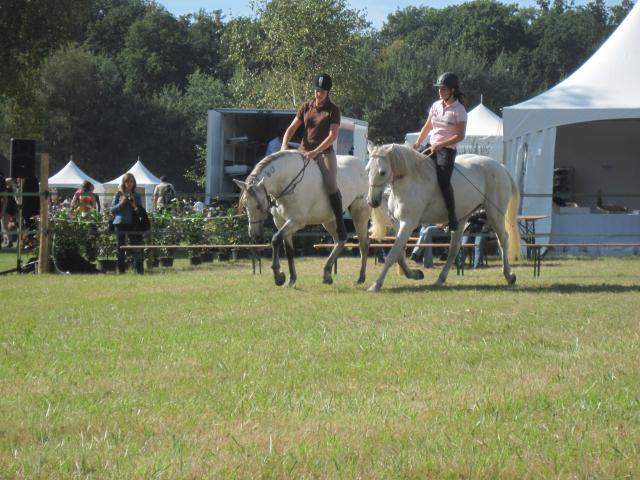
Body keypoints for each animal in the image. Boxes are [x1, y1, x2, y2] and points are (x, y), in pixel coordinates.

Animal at [234, 150, 370, 286]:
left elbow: (275, 239)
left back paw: (360, 278)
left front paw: (278, 276)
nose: (254, 235)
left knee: (363, 244)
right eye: (245, 206)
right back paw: (327, 274)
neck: (287, 182)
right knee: (339, 241)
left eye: (257, 206)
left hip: (359, 212)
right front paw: (291, 279)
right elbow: (288, 250)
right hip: (328, 219)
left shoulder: (296, 221)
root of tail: (363, 166)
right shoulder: (280, 222)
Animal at [364, 142, 520, 292]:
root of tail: (500, 167)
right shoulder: (397, 224)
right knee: (454, 248)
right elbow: (400, 255)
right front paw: (415, 274)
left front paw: (376, 285)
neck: (410, 181)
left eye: (382, 172)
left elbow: (392, 254)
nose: (372, 201)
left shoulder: (408, 224)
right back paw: (440, 279)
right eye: (367, 170)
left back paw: (509, 276)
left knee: (503, 240)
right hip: (462, 219)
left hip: (495, 214)